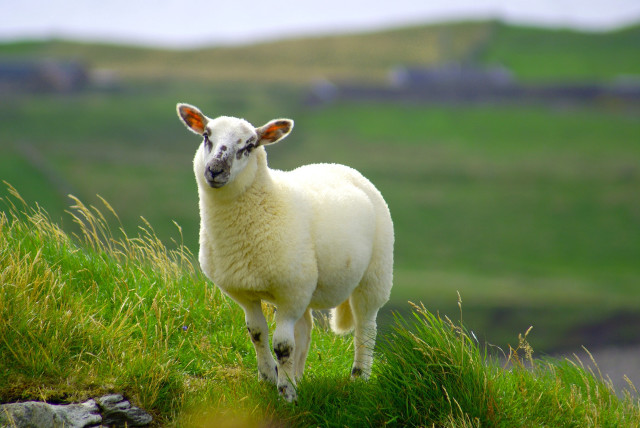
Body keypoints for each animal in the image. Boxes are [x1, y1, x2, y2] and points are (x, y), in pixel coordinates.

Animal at [176, 103, 394, 402]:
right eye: (206, 136)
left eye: (250, 145)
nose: (215, 170)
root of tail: (340, 166)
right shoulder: (246, 292)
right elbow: (257, 333)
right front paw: (269, 378)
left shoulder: (291, 292)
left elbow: (282, 345)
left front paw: (286, 393)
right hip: (308, 284)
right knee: (305, 330)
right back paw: (298, 375)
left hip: (374, 275)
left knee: (366, 328)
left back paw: (358, 378)